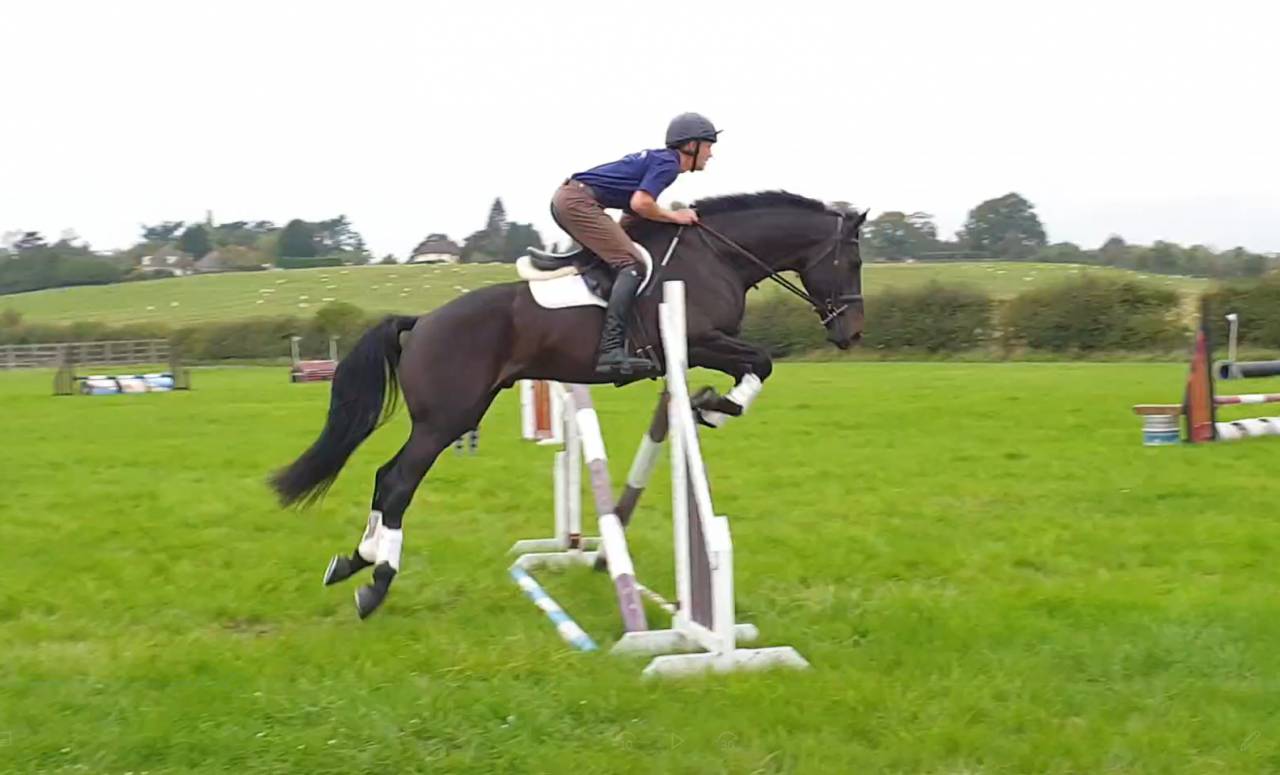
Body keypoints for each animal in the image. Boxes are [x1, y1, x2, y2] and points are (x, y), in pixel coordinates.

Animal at [270, 190, 867, 619]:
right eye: (851, 260)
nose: (853, 333)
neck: (715, 256)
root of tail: (423, 322)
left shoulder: (705, 346)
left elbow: (755, 366)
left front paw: (710, 405)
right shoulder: (697, 340)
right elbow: (761, 363)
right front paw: (714, 406)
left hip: (451, 417)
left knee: (385, 477)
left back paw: (355, 561)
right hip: (446, 420)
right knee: (397, 481)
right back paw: (376, 581)